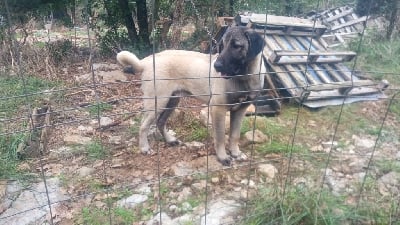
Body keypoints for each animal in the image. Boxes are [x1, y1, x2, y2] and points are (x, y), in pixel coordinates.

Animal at [117, 25, 268, 165]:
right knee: (143, 126)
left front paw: (236, 153)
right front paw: (223, 157)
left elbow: (234, 135)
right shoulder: (218, 109)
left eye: (236, 46)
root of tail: (148, 60)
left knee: (160, 122)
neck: (244, 78)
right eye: (221, 46)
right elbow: (220, 137)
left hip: (172, 101)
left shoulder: (240, 110)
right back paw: (144, 148)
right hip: (158, 102)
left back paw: (169, 140)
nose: (216, 66)